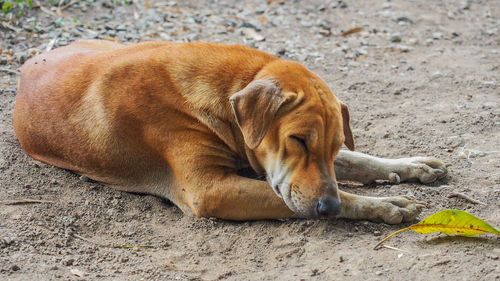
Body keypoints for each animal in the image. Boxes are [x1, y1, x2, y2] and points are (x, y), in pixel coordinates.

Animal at [13, 39, 448, 223]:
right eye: (297, 140)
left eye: (333, 144)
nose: (328, 209)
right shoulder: (211, 190)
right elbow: (323, 193)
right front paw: (384, 204)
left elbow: (359, 159)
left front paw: (411, 166)